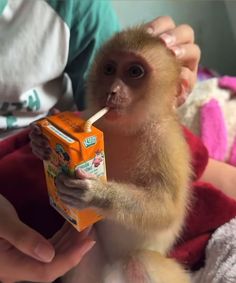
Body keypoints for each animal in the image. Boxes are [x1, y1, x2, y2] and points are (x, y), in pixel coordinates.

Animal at [53, 26, 192, 283]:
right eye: (109, 69)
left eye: (135, 72)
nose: (112, 91)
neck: (128, 128)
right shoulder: (89, 115)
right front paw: (39, 143)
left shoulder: (166, 142)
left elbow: (167, 208)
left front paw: (95, 193)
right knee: (87, 239)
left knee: (141, 260)